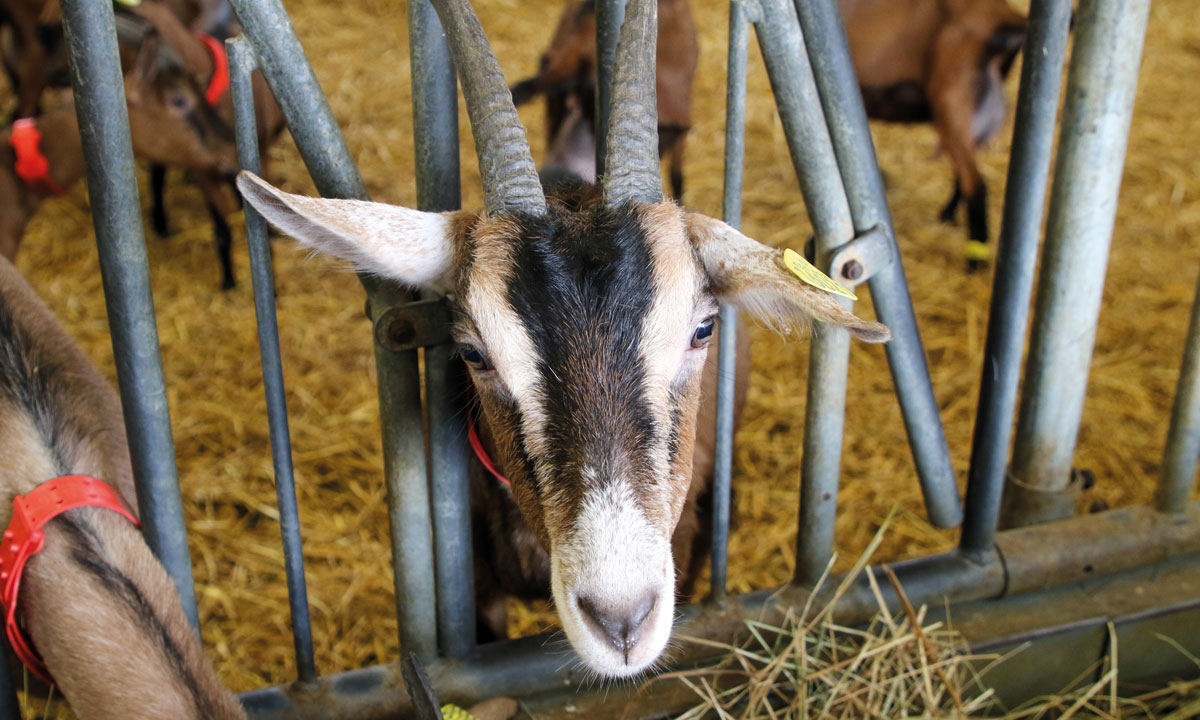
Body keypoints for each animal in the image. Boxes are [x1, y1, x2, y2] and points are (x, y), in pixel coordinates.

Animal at [840, 0, 1027, 267]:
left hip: (951, 101)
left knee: (976, 184)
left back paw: (974, 260)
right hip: (975, 119)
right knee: (965, 175)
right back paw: (948, 216)